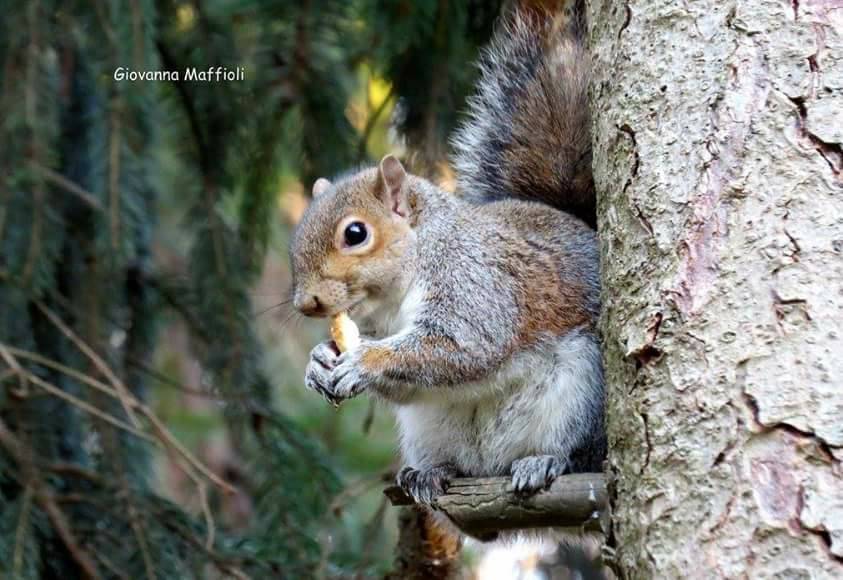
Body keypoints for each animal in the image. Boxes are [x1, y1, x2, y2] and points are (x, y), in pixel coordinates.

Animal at [290, 1, 608, 520]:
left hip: (582, 394)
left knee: (577, 451)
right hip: (431, 427)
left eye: (355, 233)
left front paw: (362, 360)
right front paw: (319, 360)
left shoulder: (474, 282)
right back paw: (431, 474)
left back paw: (544, 462)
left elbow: (462, 347)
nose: (305, 303)